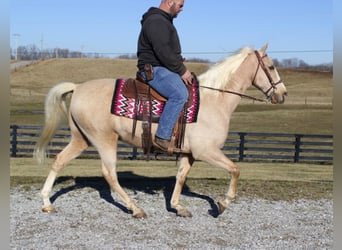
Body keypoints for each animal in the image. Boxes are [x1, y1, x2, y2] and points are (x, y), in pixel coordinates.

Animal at [34, 44, 286, 218]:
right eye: (271, 67)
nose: (282, 94)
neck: (215, 100)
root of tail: (77, 88)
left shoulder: (188, 154)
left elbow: (181, 177)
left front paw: (177, 206)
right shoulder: (206, 151)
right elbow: (235, 169)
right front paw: (223, 203)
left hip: (81, 139)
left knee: (59, 160)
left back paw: (47, 202)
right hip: (104, 141)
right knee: (110, 174)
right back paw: (135, 208)